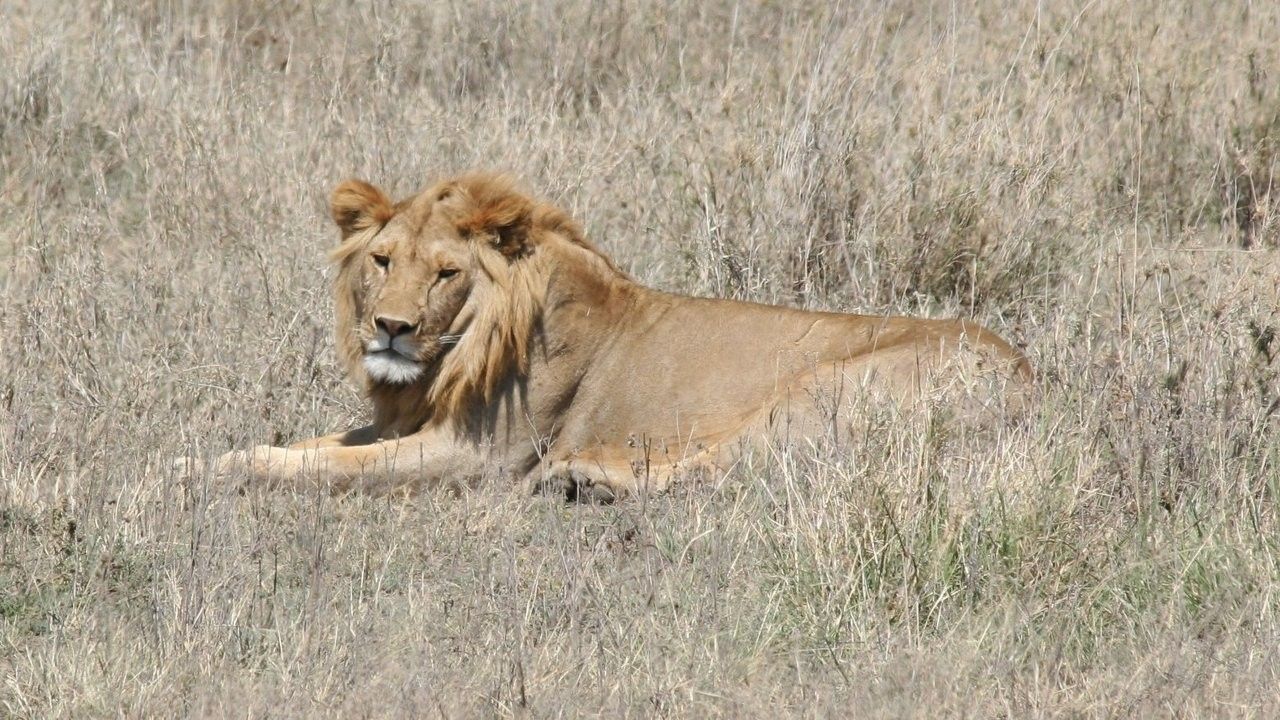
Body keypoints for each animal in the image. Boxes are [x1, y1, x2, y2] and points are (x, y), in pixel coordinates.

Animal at [204, 174, 1034, 499]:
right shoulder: (404, 421)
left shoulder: (477, 457)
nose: (391, 329)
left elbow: (334, 467)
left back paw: (584, 479)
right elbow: (317, 445)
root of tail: (1030, 381)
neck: (451, 360)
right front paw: (204, 459)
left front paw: (214, 472)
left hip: (817, 393)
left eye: (445, 273)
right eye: (382, 262)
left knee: (723, 473)